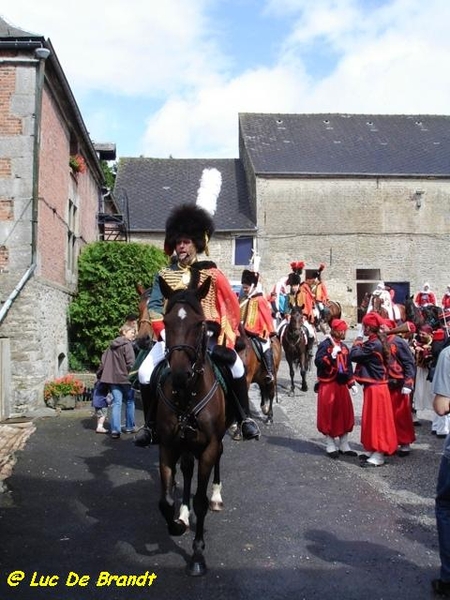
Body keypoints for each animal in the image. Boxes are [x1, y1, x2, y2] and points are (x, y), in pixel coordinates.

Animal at [144, 278, 232, 580]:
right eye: (168, 321)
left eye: (199, 323)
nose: (181, 374)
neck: (188, 394)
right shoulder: (168, 446)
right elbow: (164, 500)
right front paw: (176, 524)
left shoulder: (209, 447)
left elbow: (201, 500)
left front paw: (197, 555)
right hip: (185, 445)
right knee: (186, 470)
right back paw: (183, 514)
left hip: (215, 442)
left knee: (218, 462)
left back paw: (217, 496)